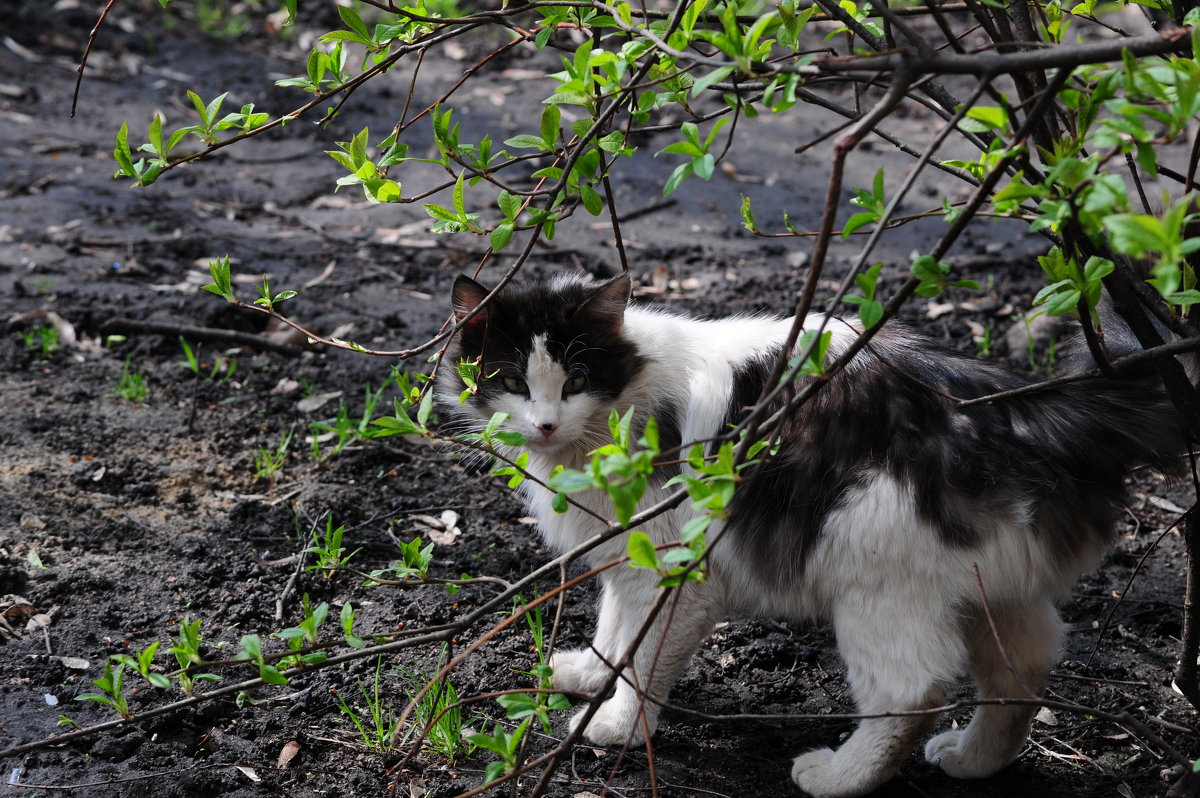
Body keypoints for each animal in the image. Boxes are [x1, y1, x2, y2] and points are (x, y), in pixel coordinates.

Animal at [436, 271, 1185, 792]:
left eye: (576, 380)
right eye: (511, 381)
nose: (544, 424)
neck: (626, 401)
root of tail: (1020, 408)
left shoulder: (677, 570)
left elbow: (643, 661)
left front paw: (615, 727)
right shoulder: (627, 555)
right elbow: (615, 630)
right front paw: (591, 676)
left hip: (874, 580)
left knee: (912, 694)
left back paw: (839, 777)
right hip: (987, 591)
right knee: (1022, 669)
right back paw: (973, 760)